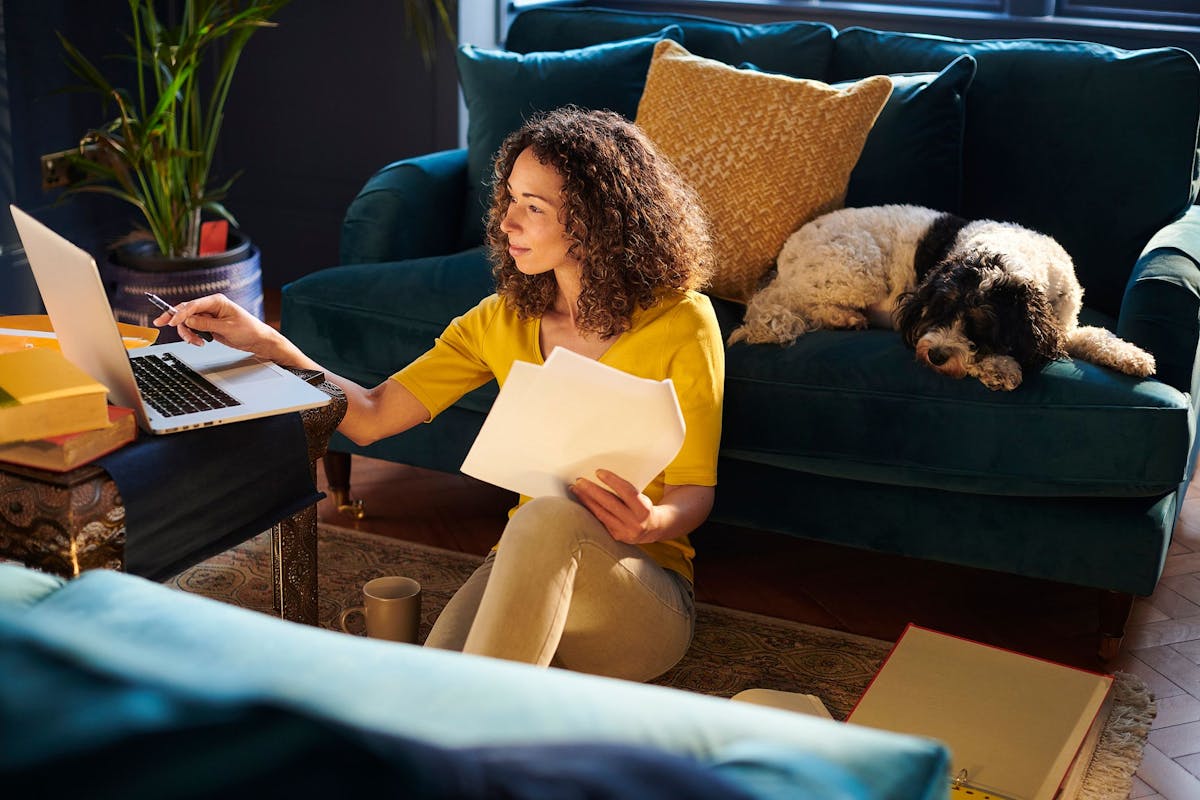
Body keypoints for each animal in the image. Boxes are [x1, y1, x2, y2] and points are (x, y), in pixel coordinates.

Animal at [724, 203, 1156, 391]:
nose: (935, 355)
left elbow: (1095, 335)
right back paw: (846, 318)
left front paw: (1133, 356)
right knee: (808, 305)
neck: (1006, 254)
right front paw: (1000, 367)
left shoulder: (1062, 324)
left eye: (980, 325)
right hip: (857, 269)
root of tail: (782, 262)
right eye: (938, 312)